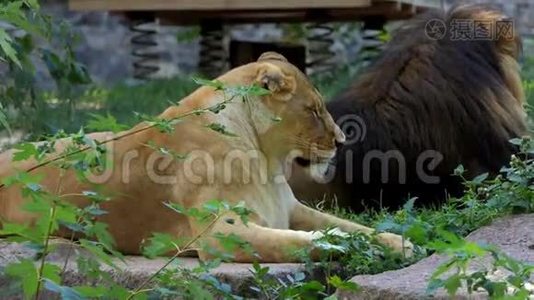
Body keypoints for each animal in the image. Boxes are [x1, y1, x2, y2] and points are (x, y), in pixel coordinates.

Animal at [0, 52, 414, 262]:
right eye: (313, 110)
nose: (342, 141)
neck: (266, 160)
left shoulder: (291, 209)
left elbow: (356, 227)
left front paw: (400, 242)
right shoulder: (220, 234)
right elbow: (305, 242)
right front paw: (345, 246)